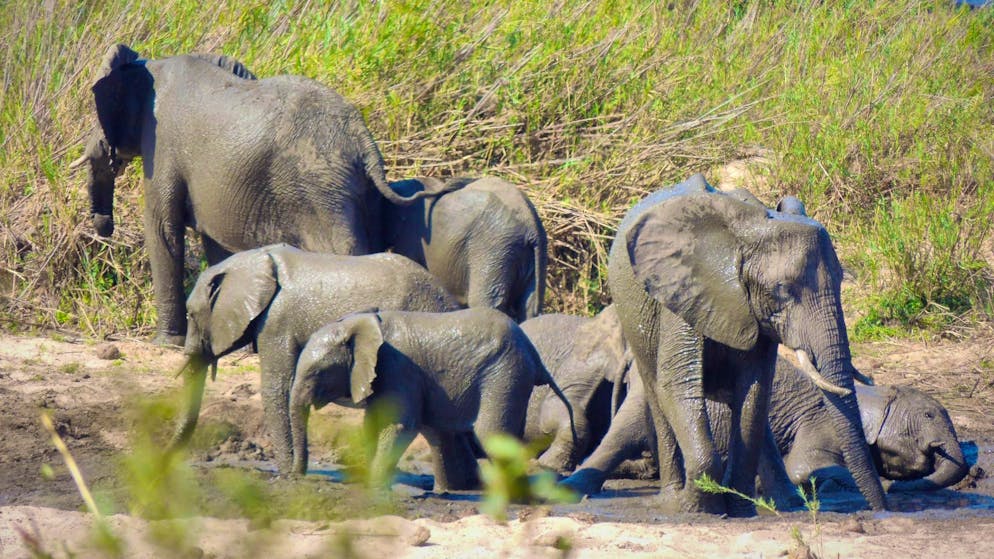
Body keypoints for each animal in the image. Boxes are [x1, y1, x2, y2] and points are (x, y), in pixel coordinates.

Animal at [72, 44, 457, 346]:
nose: (104, 226)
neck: (150, 64)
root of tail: (364, 140)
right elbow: (216, 244)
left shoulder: (162, 144)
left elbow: (163, 229)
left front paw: (166, 343)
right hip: (361, 193)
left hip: (324, 190)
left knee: (346, 251)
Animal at [173, 243, 465, 478]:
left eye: (190, 315)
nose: (167, 456)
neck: (253, 260)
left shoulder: (276, 322)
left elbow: (276, 389)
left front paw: (286, 474)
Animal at [289, 308, 575, 490]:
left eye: (316, 373)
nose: (296, 477)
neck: (358, 323)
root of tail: (533, 353)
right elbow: (373, 423)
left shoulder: (398, 368)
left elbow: (400, 425)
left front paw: (373, 485)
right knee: (440, 431)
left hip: (506, 373)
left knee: (490, 433)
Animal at [596, 173, 887, 516]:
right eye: (783, 290)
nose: (881, 508)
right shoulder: (680, 290)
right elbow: (677, 384)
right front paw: (698, 509)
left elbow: (754, 389)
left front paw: (738, 508)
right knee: (656, 393)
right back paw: (670, 500)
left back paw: (783, 503)